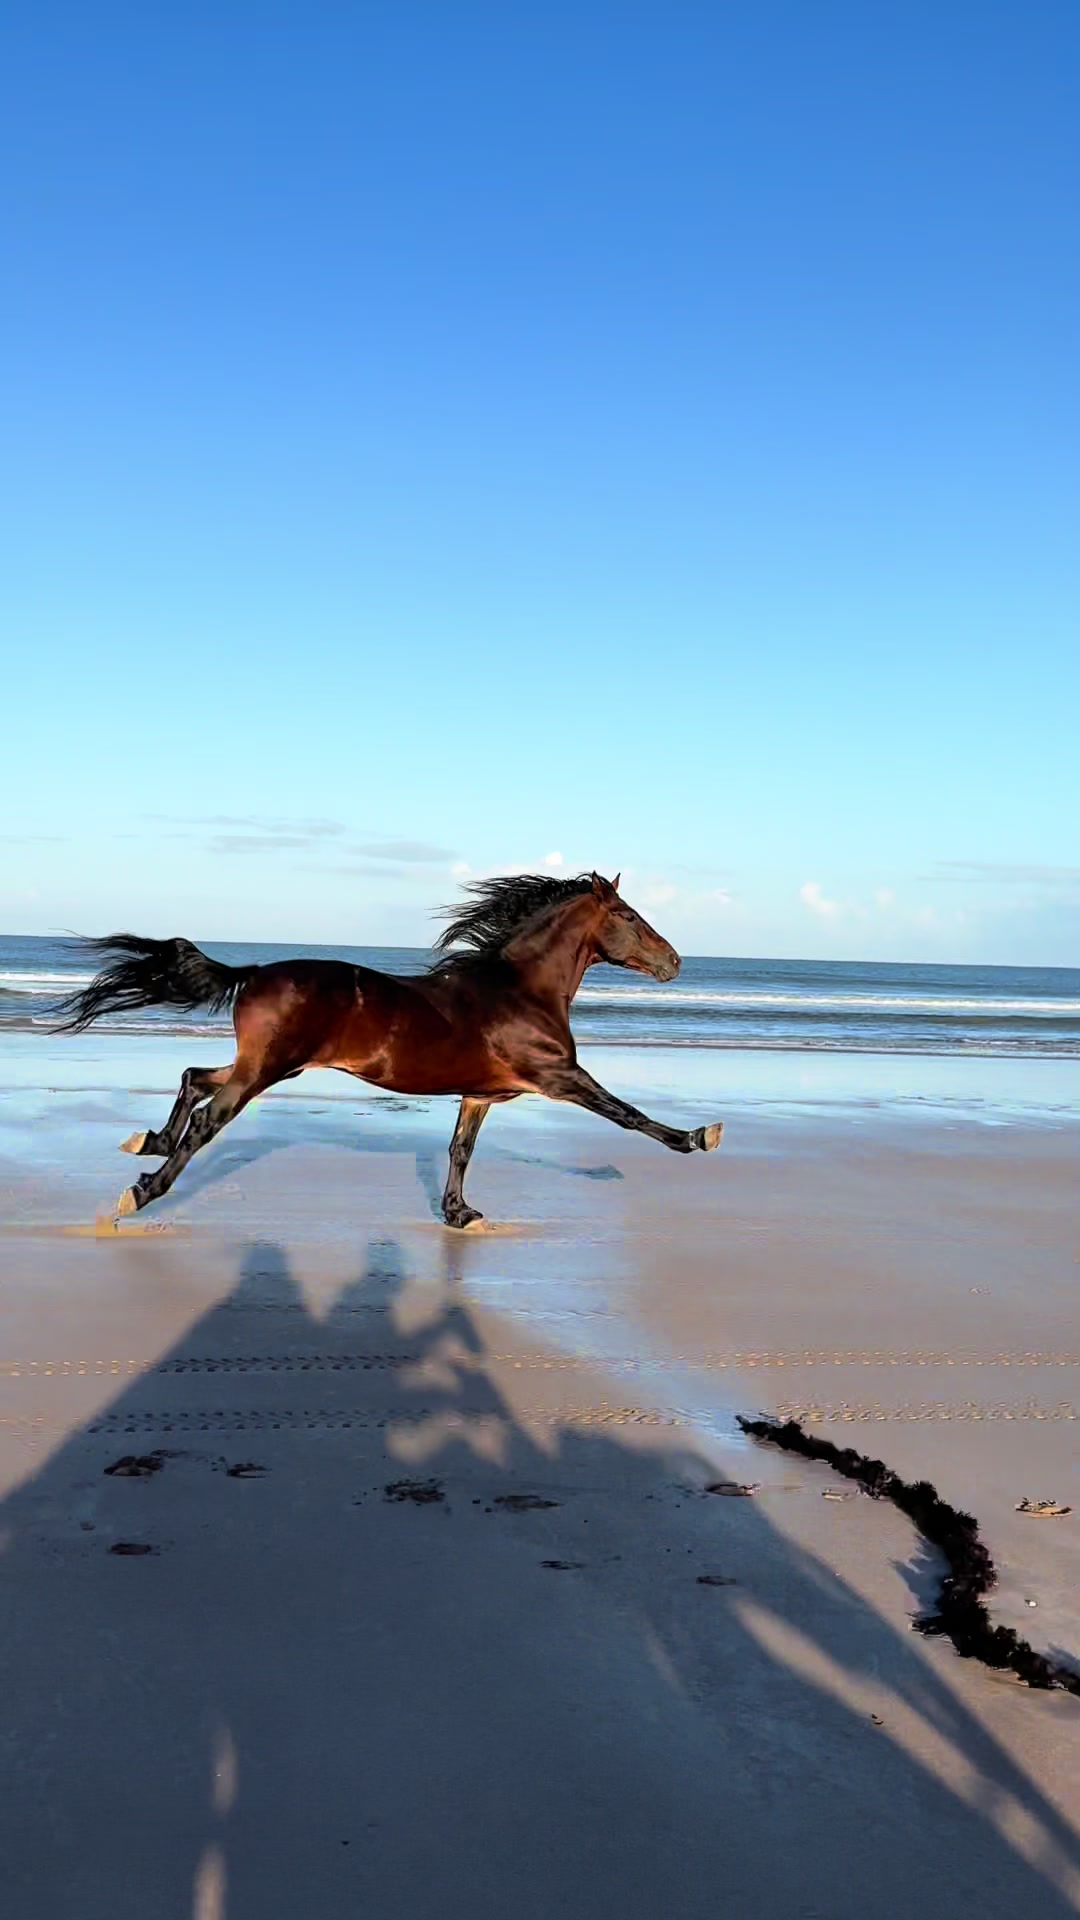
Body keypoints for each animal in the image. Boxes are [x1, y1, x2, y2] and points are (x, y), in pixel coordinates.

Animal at [54, 871, 723, 1228]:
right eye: (629, 915)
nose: (675, 962)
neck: (519, 990)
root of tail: (258, 971)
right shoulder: (559, 1075)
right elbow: (628, 1114)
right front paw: (698, 1137)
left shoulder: (480, 1094)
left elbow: (459, 1150)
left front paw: (460, 1213)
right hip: (264, 1071)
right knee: (204, 1122)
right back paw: (141, 1191)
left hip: (270, 1066)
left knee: (195, 1075)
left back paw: (145, 1141)